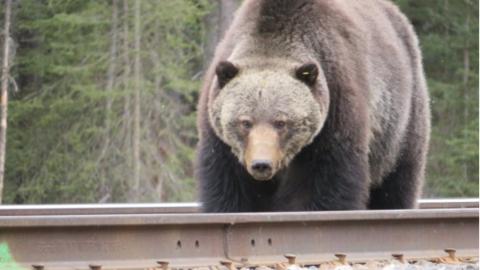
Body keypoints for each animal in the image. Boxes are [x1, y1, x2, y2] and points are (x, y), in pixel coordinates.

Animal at [195, 0, 432, 211]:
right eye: (245, 122)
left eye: (281, 122)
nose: (261, 164)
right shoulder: (221, 138)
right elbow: (229, 187)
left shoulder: (335, 108)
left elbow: (325, 182)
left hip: (401, 120)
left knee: (397, 180)